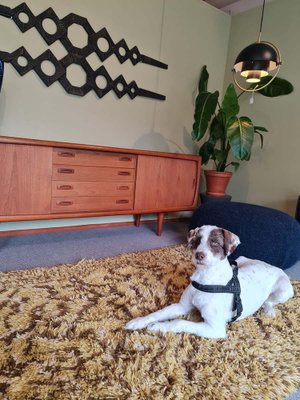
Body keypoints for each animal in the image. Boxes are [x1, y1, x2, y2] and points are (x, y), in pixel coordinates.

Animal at [125, 225, 294, 338]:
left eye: (214, 243)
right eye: (196, 241)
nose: (199, 255)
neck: (205, 279)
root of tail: (272, 265)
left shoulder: (216, 329)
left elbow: (180, 322)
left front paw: (159, 327)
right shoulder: (182, 306)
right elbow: (158, 313)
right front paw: (139, 321)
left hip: (285, 290)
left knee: (269, 301)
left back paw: (269, 310)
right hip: (240, 260)